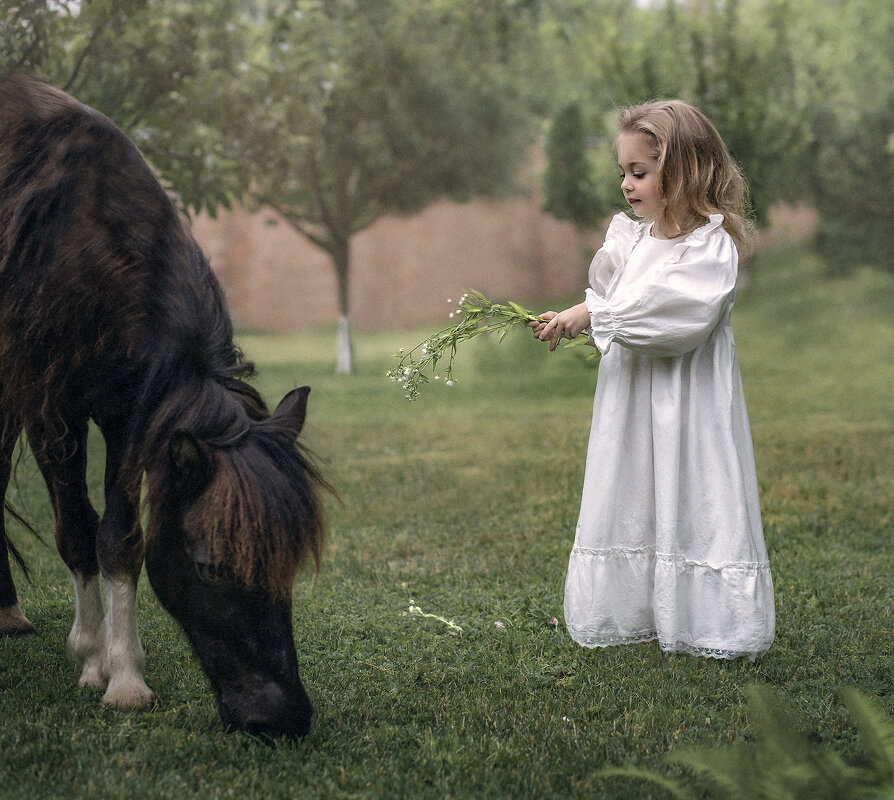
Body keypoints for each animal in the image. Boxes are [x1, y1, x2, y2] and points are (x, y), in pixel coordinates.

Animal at [0, 73, 328, 736]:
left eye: (288, 565)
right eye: (212, 568)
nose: (283, 718)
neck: (82, 249)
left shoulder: (131, 413)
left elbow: (121, 536)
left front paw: (122, 670)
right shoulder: (51, 408)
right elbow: (78, 531)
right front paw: (100, 661)